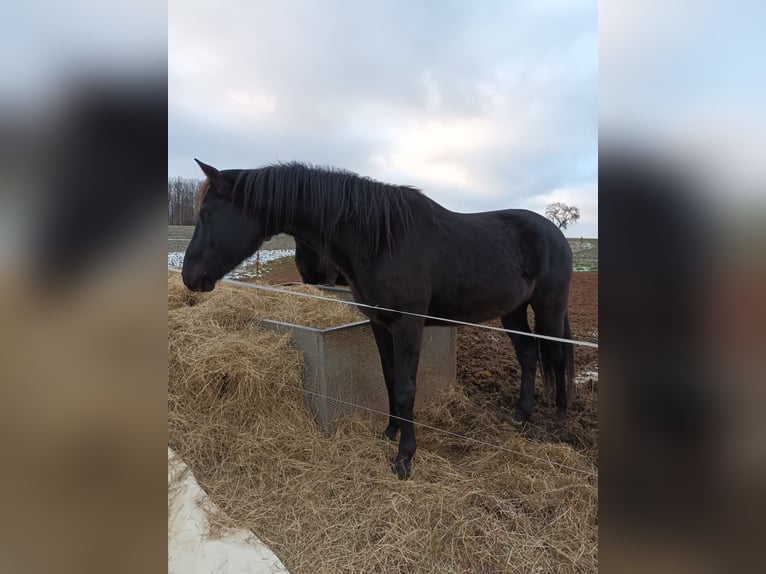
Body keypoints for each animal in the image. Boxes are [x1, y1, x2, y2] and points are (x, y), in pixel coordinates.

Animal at [183, 160, 572, 480]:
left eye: (207, 215)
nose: (189, 277)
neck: (382, 239)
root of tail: (555, 231)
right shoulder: (380, 324)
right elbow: (389, 379)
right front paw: (389, 434)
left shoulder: (408, 326)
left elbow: (406, 387)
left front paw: (404, 459)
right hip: (513, 311)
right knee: (528, 355)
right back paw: (521, 415)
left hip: (549, 307)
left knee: (557, 355)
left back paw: (562, 422)